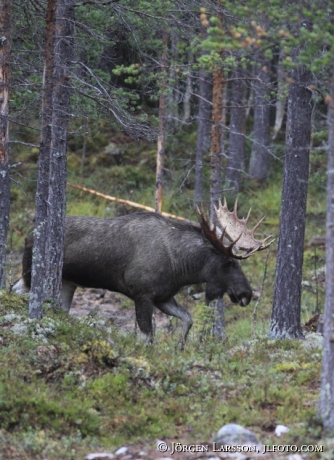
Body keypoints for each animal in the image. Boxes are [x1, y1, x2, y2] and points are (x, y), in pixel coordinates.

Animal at [13, 199, 274, 344]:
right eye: (229, 263)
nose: (246, 294)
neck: (181, 267)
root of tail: (28, 234)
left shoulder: (163, 297)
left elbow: (188, 319)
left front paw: (179, 347)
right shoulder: (143, 294)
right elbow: (146, 337)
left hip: (68, 282)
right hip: (30, 274)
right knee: (14, 289)